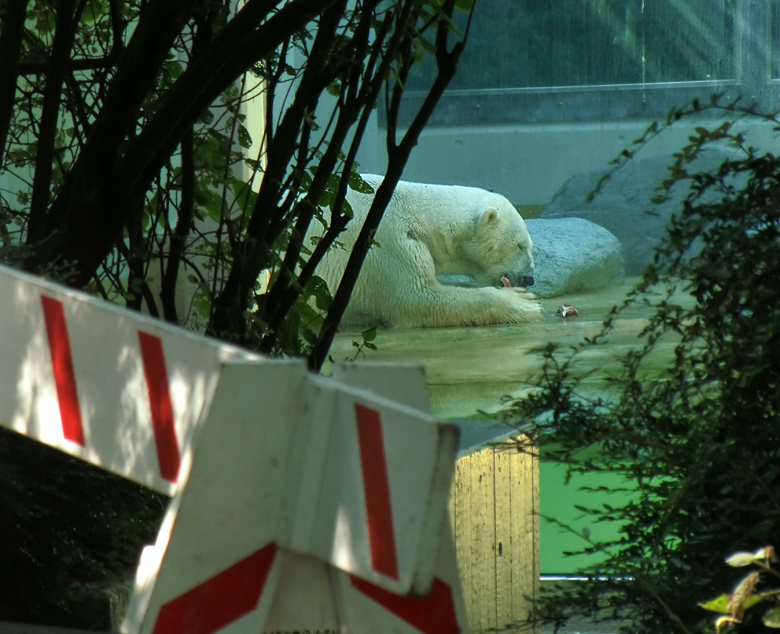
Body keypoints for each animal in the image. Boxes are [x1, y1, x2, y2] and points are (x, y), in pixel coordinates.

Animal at [310, 175, 544, 328]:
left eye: (529, 246)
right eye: (520, 245)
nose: (528, 278)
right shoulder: (383, 239)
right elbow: (417, 298)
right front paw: (525, 301)